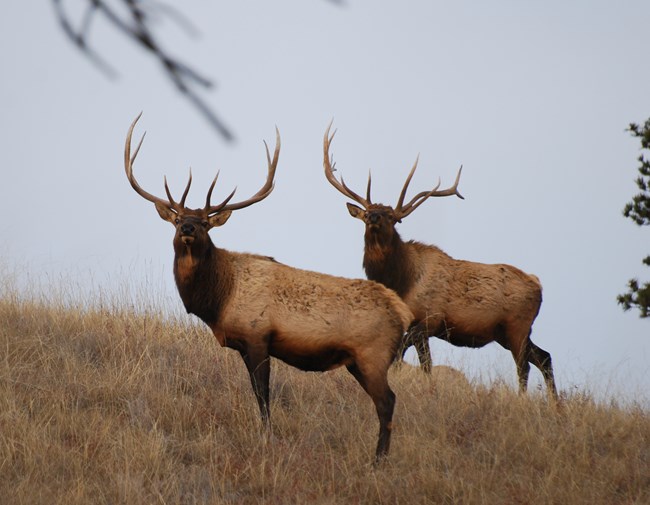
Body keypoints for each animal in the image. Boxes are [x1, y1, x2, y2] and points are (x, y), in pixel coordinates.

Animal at [123, 114, 416, 460]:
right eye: (178, 218)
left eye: (206, 223)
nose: (189, 227)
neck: (218, 299)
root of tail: (402, 311)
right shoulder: (243, 344)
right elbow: (257, 392)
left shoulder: (258, 336)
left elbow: (263, 394)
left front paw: (266, 435)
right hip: (359, 362)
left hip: (373, 354)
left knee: (387, 402)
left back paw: (378, 460)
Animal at [322, 123, 556, 398]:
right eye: (368, 211)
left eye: (392, 217)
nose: (374, 217)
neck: (401, 281)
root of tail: (538, 284)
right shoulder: (417, 326)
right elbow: (418, 362)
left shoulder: (428, 320)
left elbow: (411, 358)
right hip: (508, 333)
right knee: (544, 357)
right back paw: (555, 402)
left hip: (517, 325)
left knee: (524, 365)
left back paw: (522, 398)